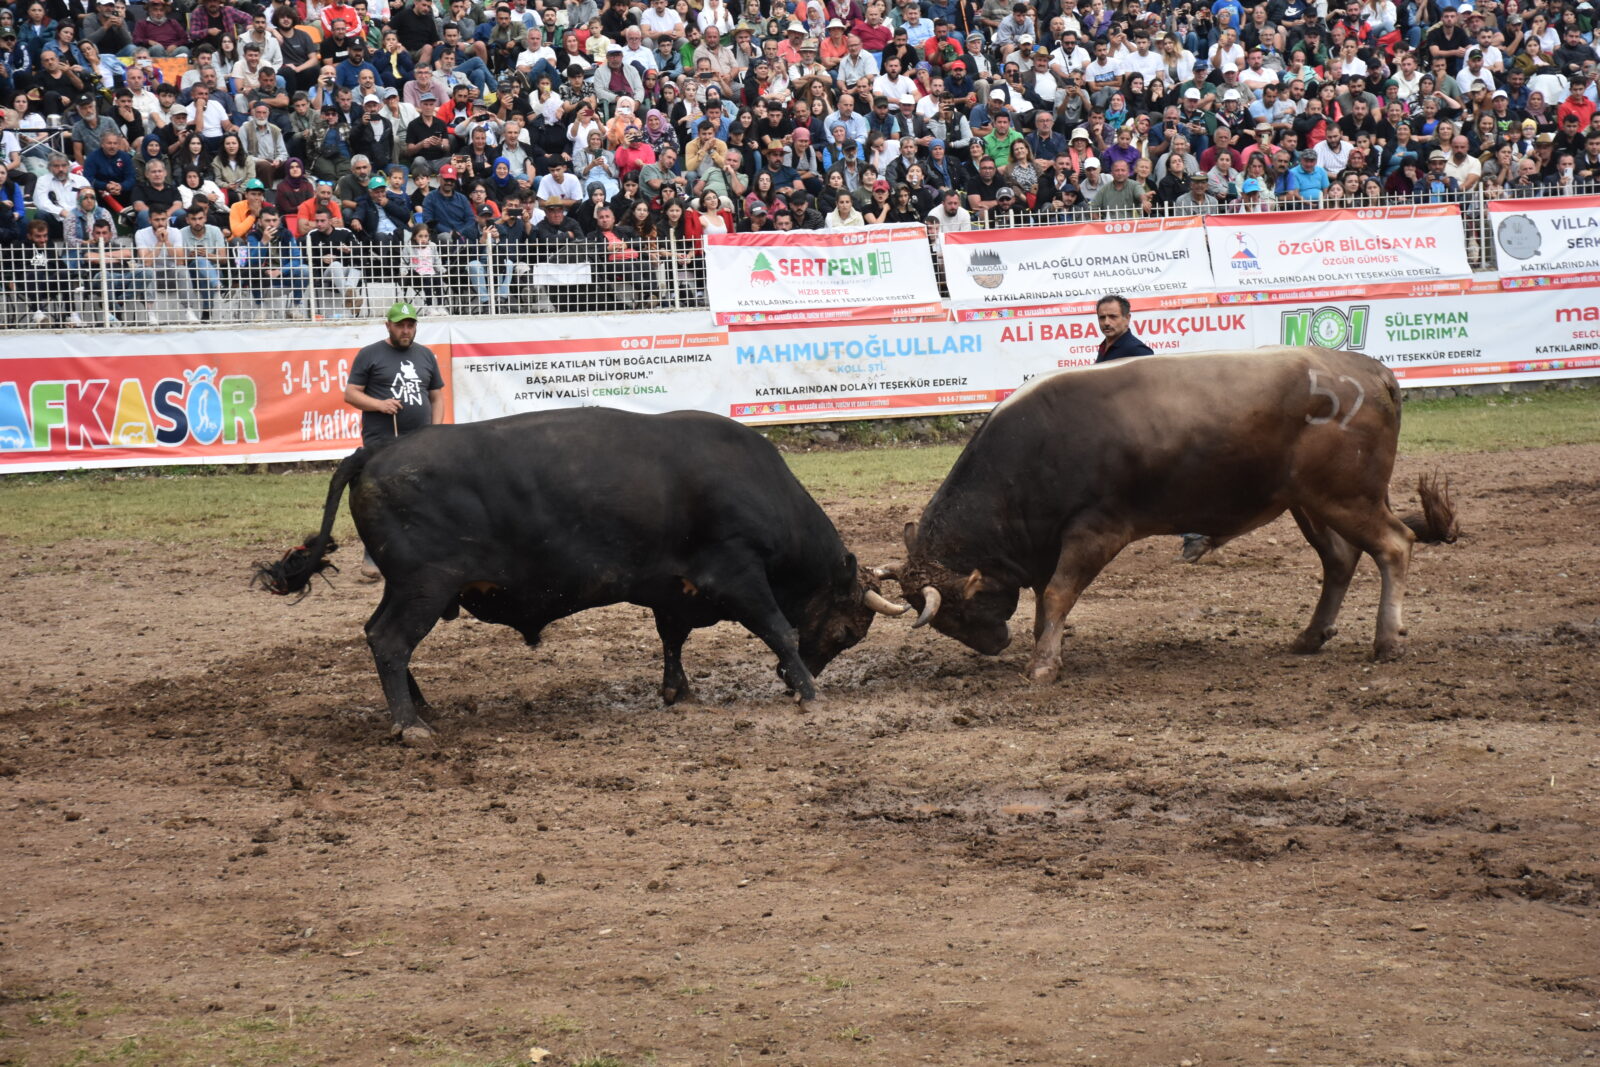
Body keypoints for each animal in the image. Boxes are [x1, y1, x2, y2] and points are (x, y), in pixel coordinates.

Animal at [262, 409, 915, 742]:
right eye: (848, 631)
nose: (784, 681)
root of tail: (374, 453)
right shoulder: (738, 573)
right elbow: (778, 628)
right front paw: (808, 690)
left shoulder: (673, 589)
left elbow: (672, 640)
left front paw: (679, 691)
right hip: (424, 586)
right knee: (390, 640)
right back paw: (409, 724)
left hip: (410, 587)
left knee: (381, 638)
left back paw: (422, 709)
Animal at [883, 350, 1459, 684]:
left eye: (957, 613)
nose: (993, 645)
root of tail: (1372, 372)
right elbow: (1048, 600)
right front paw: (1045, 648)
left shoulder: (1096, 531)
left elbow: (1058, 594)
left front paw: (1042, 664)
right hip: (1310, 502)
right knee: (1340, 559)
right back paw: (1310, 636)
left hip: (1345, 496)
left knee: (1394, 544)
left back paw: (1387, 641)